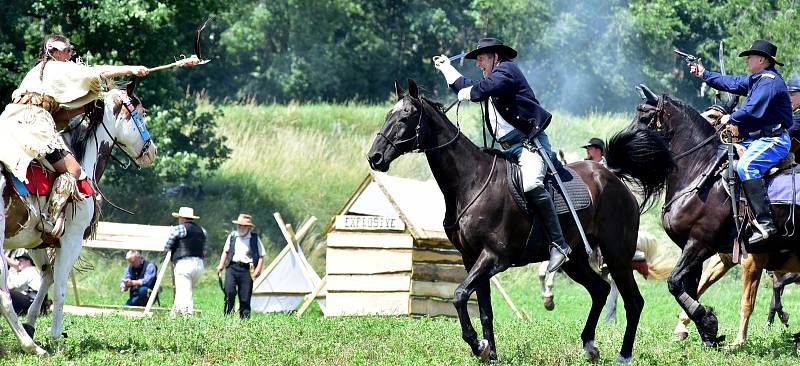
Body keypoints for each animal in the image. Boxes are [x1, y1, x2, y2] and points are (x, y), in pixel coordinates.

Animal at [1, 81, 156, 354]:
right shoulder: (70, 240)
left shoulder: (36, 242)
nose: (152, 151)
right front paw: (54, 338)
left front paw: (31, 323)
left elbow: (47, 275)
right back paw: (32, 347)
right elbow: (60, 289)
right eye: (141, 113)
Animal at [366, 80, 660, 364]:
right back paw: (589, 345)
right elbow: (484, 310)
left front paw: (477, 344)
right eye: (388, 115)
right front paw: (489, 352)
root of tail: (614, 178)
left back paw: (624, 354)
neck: (470, 183)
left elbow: (459, 295)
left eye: (405, 117)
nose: (374, 157)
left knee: (633, 301)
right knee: (600, 290)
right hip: (575, 260)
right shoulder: (471, 259)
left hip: (617, 255)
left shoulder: (494, 258)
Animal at [608, 90, 800, 348]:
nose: (612, 159)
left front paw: (715, 328)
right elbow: (691, 287)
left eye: (645, 117)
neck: (700, 173)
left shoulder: (704, 245)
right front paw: (704, 331)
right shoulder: (703, 252)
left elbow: (677, 283)